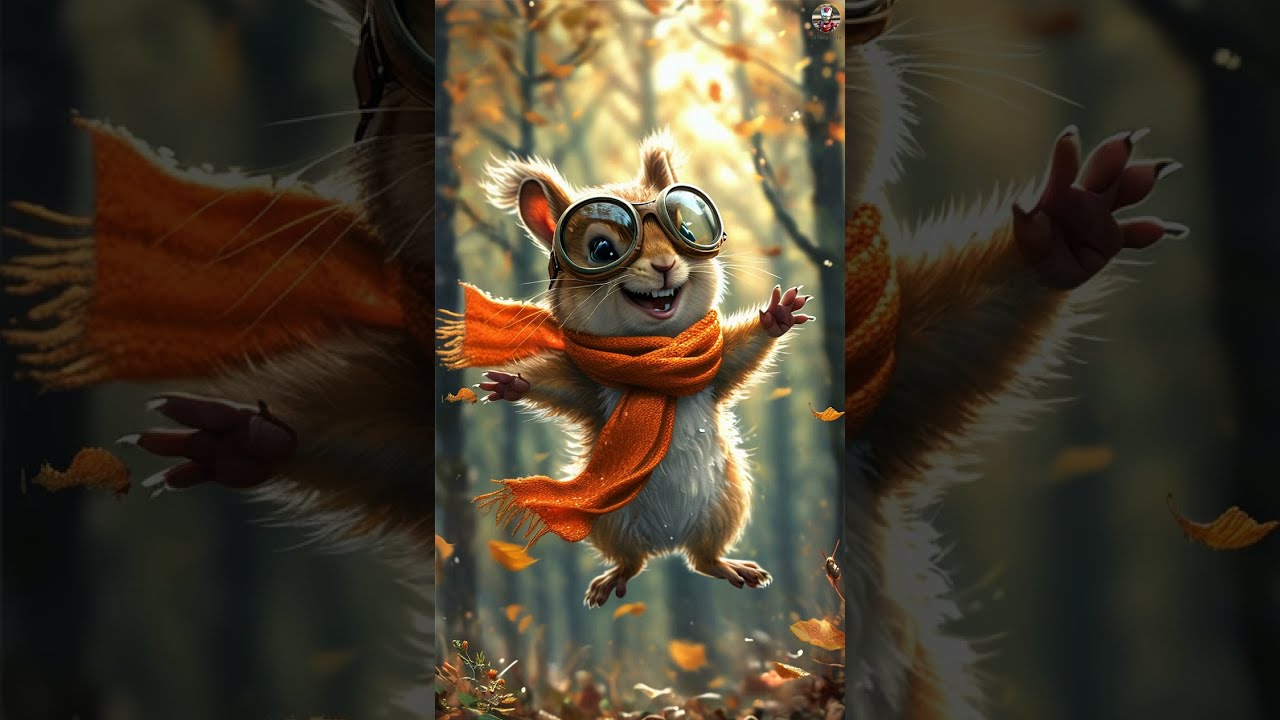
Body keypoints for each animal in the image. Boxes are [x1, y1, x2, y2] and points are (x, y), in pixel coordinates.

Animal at [438, 134, 813, 608]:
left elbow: (739, 355)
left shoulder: (713, 369)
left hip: (725, 505)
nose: (664, 265)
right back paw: (612, 580)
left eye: (688, 232)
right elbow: (556, 385)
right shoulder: (586, 387)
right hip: (610, 523)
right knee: (634, 561)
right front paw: (512, 382)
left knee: (704, 559)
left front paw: (777, 316)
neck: (653, 355)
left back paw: (732, 568)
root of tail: (668, 543)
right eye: (602, 251)